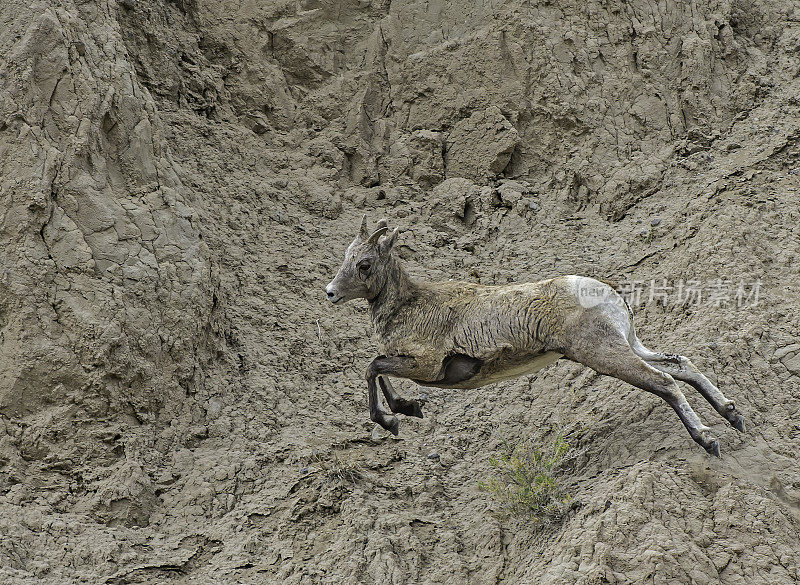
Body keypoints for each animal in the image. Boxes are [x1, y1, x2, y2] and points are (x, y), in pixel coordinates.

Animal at [324, 217, 744, 454]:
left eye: (365, 264)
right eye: (345, 256)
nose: (330, 292)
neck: (409, 304)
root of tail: (608, 293)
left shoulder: (426, 367)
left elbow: (373, 367)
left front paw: (394, 418)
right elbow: (378, 370)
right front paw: (407, 409)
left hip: (604, 353)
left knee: (665, 382)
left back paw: (708, 440)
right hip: (627, 345)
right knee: (680, 364)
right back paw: (733, 415)